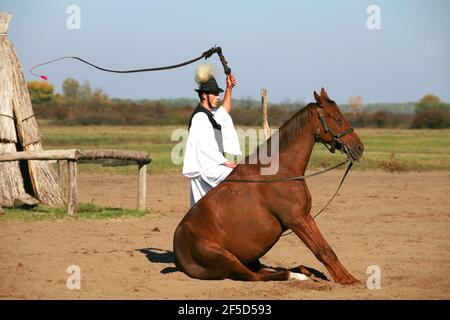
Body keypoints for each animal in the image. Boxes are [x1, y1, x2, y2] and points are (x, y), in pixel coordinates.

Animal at [174, 88, 364, 284]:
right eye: (335, 117)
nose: (359, 147)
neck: (281, 172)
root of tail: (178, 253)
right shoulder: (296, 219)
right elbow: (323, 251)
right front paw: (347, 280)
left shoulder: (306, 216)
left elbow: (327, 250)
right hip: (226, 258)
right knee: (255, 276)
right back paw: (296, 275)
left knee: (261, 270)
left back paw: (301, 270)